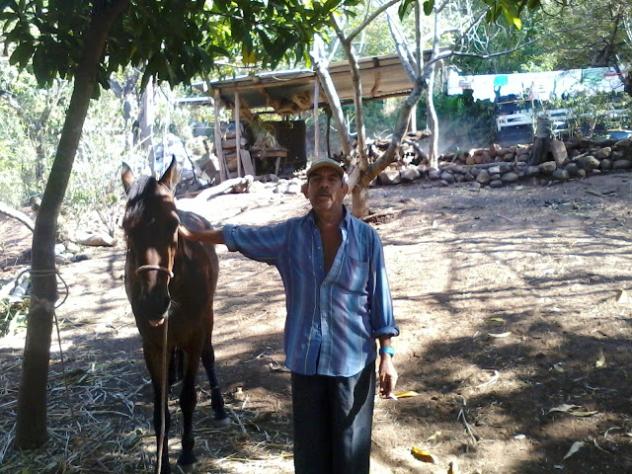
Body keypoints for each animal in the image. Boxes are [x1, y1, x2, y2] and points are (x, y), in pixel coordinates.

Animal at [121, 157, 227, 473]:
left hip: (208, 320)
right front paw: (163, 462)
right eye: (126, 228)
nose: (154, 301)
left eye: (173, 224)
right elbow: (161, 411)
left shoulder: (194, 335)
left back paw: (219, 406)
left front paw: (188, 451)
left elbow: (188, 397)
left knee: (209, 356)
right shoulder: (153, 345)